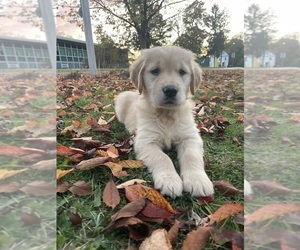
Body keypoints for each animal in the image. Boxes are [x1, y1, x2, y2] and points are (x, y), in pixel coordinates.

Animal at [114, 45, 213, 197]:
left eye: (182, 71)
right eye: (155, 71)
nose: (170, 90)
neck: (167, 114)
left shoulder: (190, 137)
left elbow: (191, 155)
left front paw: (198, 180)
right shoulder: (146, 141)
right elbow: (162, 157)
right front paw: (170, 180)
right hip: (121, 99)